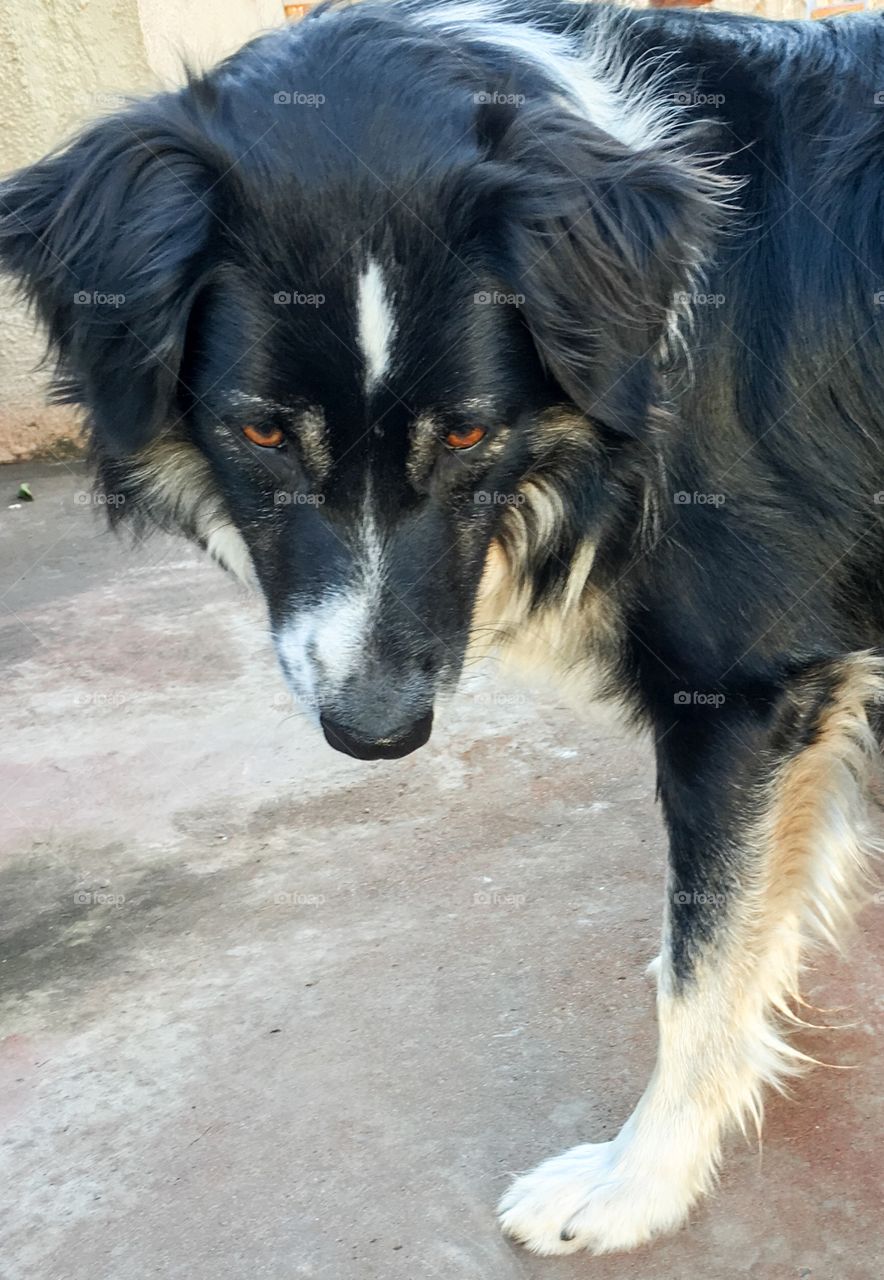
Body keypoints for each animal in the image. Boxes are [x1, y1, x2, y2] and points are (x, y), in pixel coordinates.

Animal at [1, 0, 884, 1254]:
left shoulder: (748, 685)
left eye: (469, 434)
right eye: (260, 433)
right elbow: (736, 911)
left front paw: (632, 1183)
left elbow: (702, 972)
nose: (376, 733)